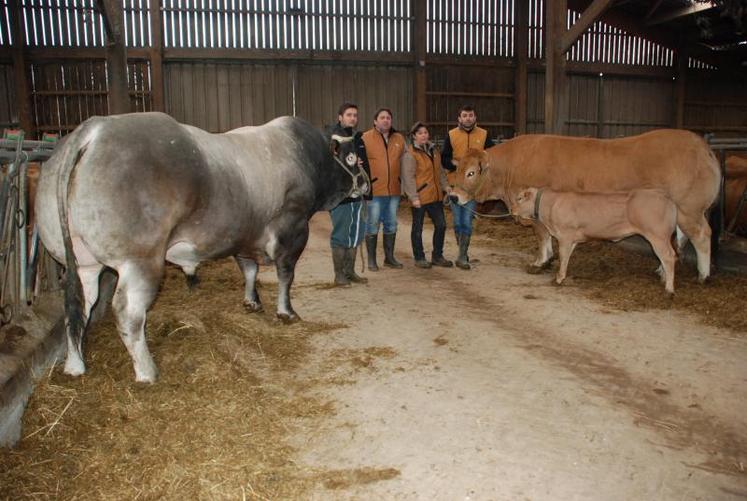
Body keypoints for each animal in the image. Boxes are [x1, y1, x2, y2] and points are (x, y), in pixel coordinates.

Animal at [36, 111, 370, 380]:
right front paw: (286, 312)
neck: (306, 157)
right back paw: (147, 372)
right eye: (352, 156)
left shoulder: (243, 236)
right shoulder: (294, 229)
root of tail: (94, 129)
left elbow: (249, 271)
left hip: (83, 262)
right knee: (128, 312)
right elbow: (285, 276)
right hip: (141, 260)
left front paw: (252, 302)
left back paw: (75, 366)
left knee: (78, 306)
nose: (367, 182)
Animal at [516, 187, 676, 292]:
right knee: (667, 256)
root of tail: (662, 194)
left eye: (519, 198)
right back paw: (663, 278)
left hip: (657, 235)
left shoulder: (565, 236)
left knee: (668, 256)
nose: (512, 210)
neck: (550, 205)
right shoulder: (572, 239)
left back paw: (669, 288)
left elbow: (563, 256)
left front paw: (559, 278)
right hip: (661, 237)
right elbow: (566, 256)